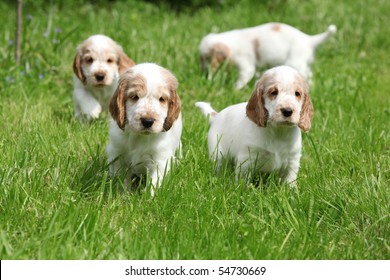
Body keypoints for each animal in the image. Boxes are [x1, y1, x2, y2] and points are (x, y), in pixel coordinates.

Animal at [106, 62, 183, 196]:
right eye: (135, 96)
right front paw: (121, 194)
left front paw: (149, 198)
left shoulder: (160, 160)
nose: (148, 121)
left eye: (162, 99)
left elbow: (154, 183)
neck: (139, 137)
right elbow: (120, 179)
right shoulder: (117, 154)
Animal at [200, 22, 336, 88]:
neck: (231, 41)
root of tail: (308, 39)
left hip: (294, 63)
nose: (204, 72)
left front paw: (235, 89)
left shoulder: (245, 65)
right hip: (302, 64)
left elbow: (243, 78)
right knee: (310, 75)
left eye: (207, 58)